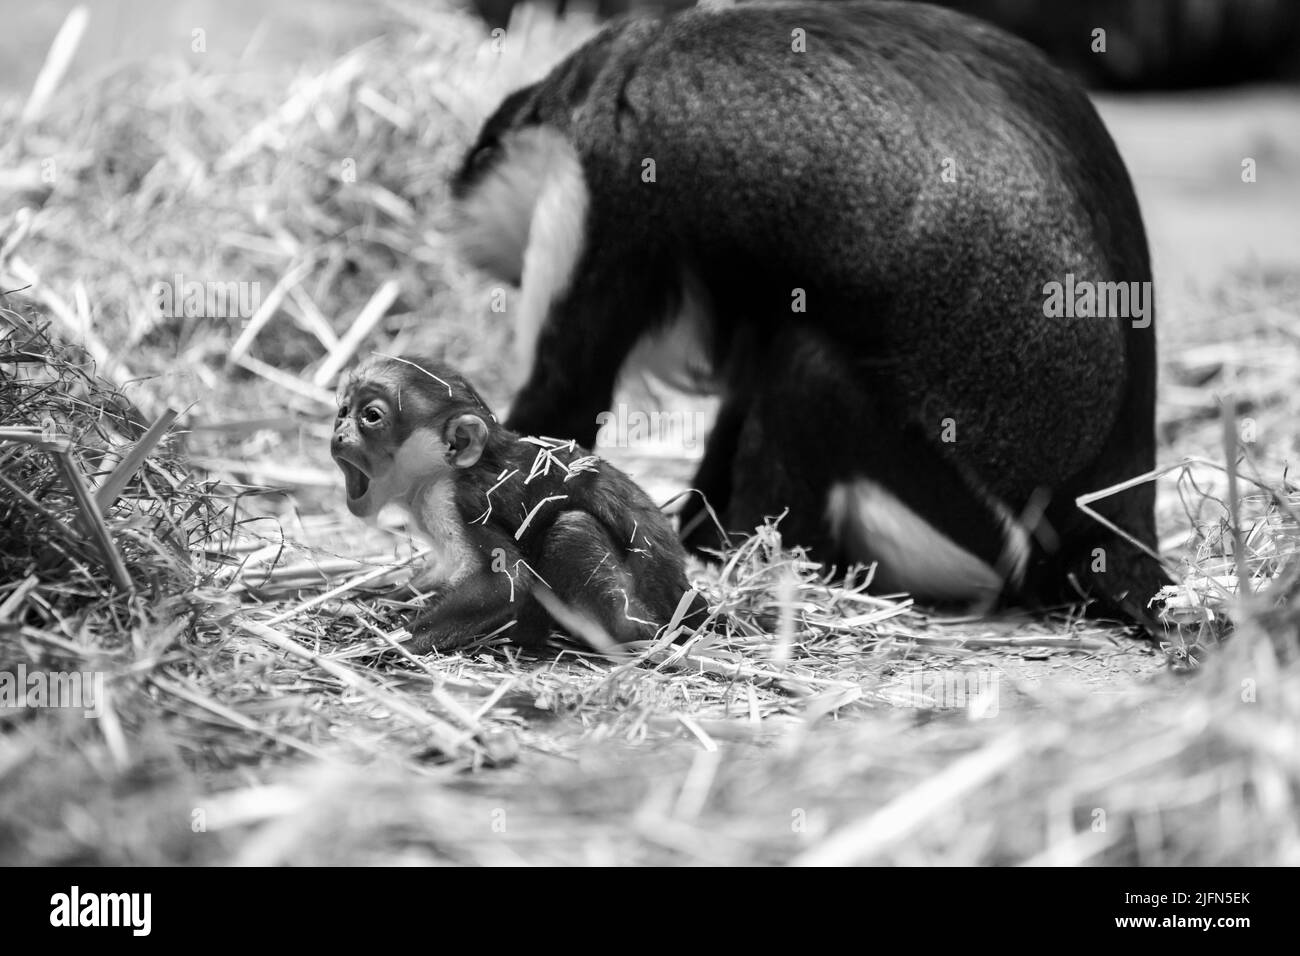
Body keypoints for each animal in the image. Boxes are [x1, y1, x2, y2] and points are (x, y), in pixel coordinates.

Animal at [332, 356, 702, 655]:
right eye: (343, 412)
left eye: (371, 416)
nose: (338, 434)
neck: (445, 473)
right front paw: (370, 600)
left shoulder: (458, 499)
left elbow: (505, 580)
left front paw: (390, 641)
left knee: (573, 530)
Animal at [449, 1, 1170, 629]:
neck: (615, 67)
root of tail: (1111, 516)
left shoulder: (604, 193)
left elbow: (565, 402)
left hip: (964, 523)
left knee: (807, 370)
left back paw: (755, 559)